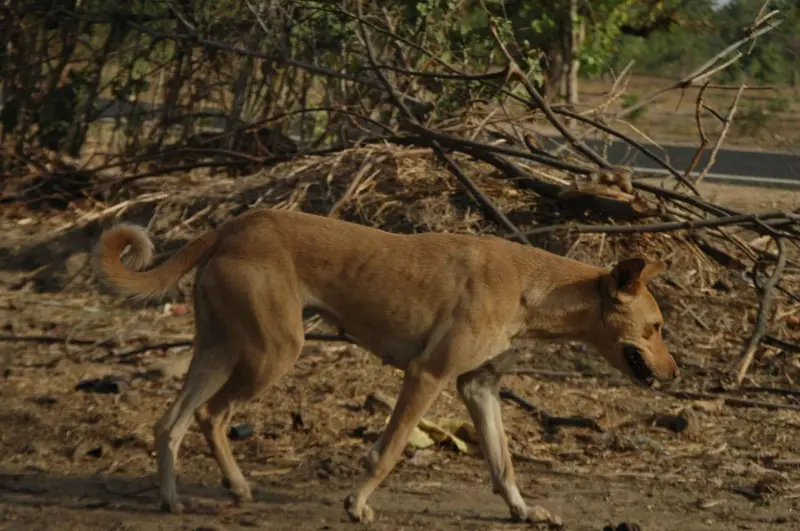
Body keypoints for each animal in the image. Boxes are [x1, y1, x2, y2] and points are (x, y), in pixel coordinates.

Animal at [94, 208, 680, 524]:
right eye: (655, 328)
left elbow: (503, 464)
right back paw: (225, 489)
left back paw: (175, 498)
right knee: (211, 415)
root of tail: (234, 225)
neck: (531, 288)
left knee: (171, 423)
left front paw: (522, 510)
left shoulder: (478, 389)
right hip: (273, 352)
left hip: (219, 350)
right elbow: (389, 449)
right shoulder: (427, 375)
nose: (675, 374)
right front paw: (356, 504)